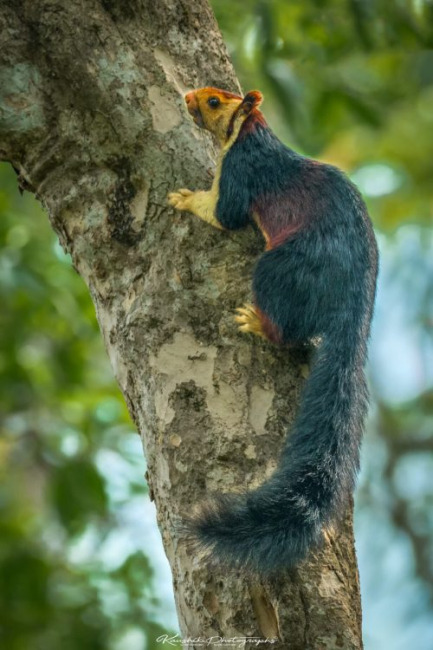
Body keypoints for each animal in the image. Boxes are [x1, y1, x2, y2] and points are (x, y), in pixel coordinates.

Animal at [167, 86, 376, 572]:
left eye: (213, 101)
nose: (186, 96)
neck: (251, 132)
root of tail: (355, 307)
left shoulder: (241, 173)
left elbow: (222, 213)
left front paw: (184, 198)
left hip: (280, 269)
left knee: (287, 331)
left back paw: (257, 324)